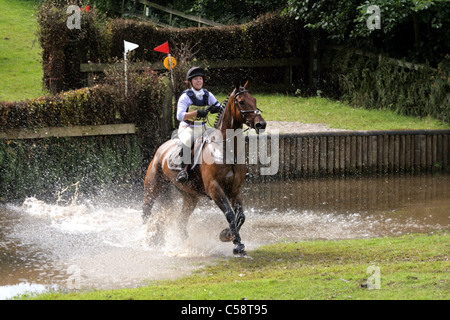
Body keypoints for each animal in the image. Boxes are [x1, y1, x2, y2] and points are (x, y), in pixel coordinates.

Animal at [142, 82, 266, 255]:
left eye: (254, 100)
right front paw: (237, 245)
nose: (261, 124)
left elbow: (240, 216)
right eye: (241, 102)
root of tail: (161, 149)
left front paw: (227, 235)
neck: (227, 150)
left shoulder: (235, 189)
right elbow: (229, 214)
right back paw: (147, 236)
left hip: (189, 196)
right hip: (153, 187)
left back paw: (186, 243)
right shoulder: (214, 189)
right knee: (146, 211)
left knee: (181, 220)